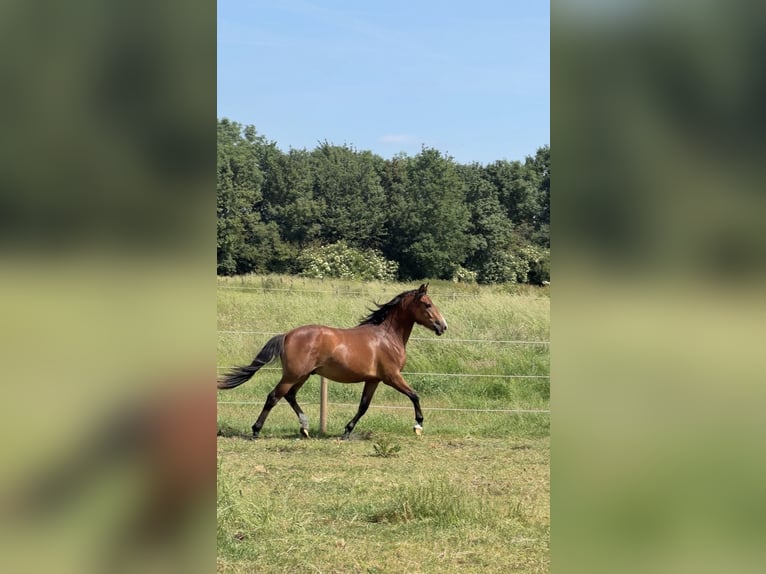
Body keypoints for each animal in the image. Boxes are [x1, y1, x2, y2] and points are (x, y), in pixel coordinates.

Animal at [217, 283, 448, 439]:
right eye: (427, 304)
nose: (442, 326)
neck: (387, 337)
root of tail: (287, 335)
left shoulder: (373, 380)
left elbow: (363, 406)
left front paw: (347, 431)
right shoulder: (392, 377)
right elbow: (414, 395)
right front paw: (418, 425)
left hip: (302, 375)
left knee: (290, 396)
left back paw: (305, 427)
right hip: (293, 375)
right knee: (274, 397)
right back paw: (256, 430)